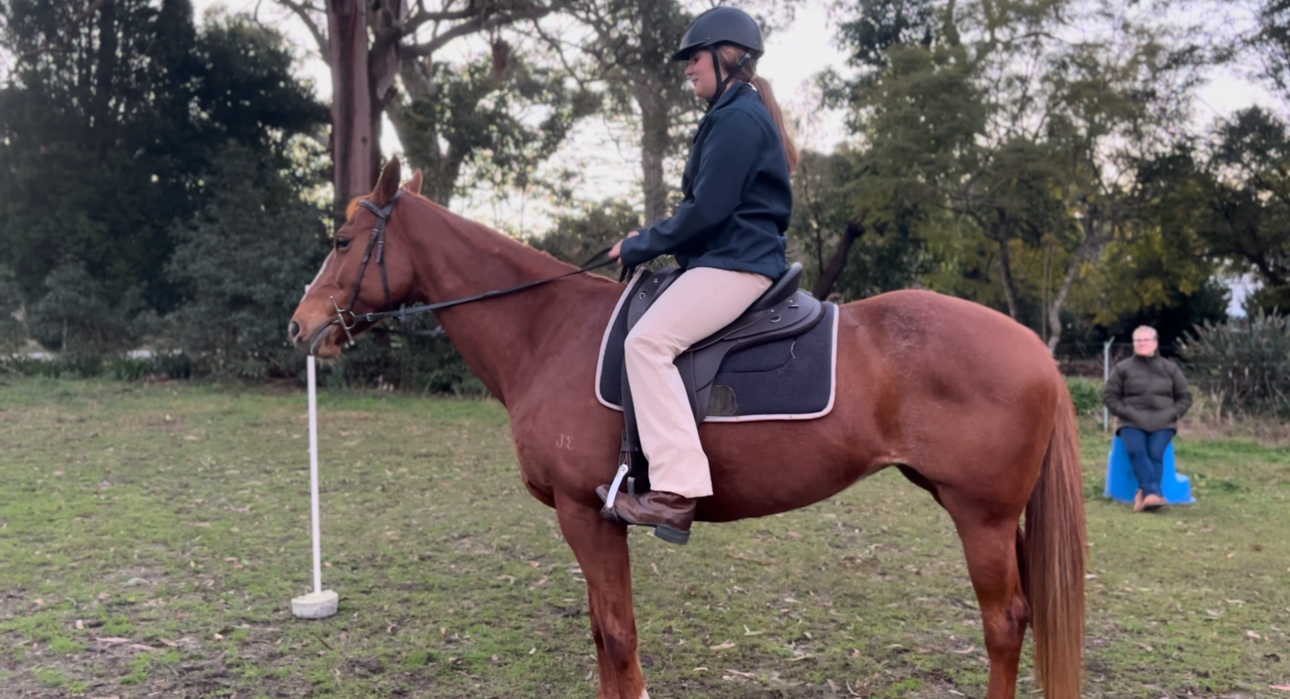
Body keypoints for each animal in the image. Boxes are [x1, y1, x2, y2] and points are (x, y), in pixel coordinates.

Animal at [288, 157, 1086, 699]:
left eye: (342, 239)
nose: (299, 327)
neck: (549, 330)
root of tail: (1036, 350)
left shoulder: (585, 514)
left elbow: (617, 633)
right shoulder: (593, 520)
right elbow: (602, 631)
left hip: (981, 517)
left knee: (1006, 620)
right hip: (993, 515)